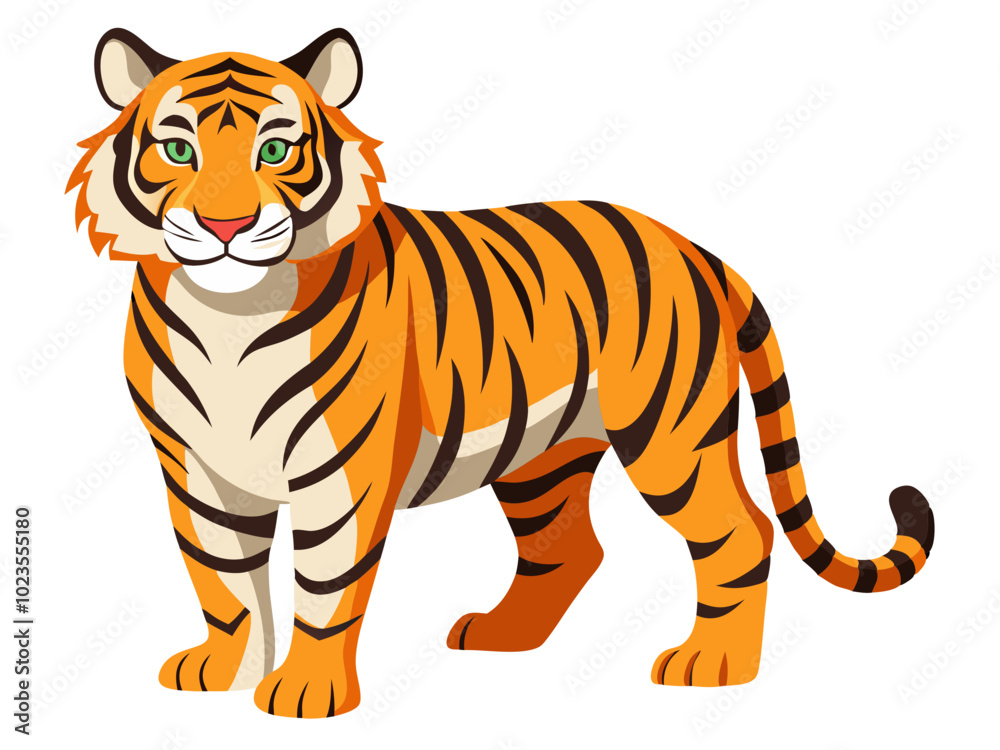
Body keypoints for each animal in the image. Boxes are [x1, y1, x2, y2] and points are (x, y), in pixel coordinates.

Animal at [67, 28, 934, 718]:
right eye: (178, 148)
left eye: (275, 150)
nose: (225, 225)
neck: (230, 313)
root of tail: (695, 248)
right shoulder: (197, 470)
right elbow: (223, 581)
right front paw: (223, 673)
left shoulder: (341, 473)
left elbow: (323, 586)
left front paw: (306, 693)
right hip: (541, 458)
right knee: (571, 550)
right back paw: (501, 637)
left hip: (670, 440)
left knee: (739, 532)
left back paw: (713, 667)